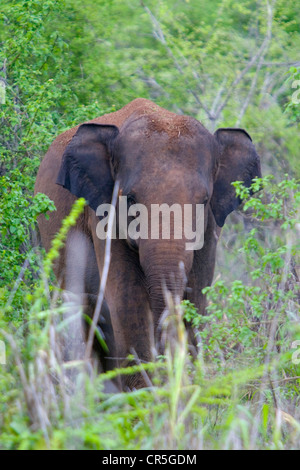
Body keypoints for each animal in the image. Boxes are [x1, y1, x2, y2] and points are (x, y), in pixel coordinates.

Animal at [34, 98, 262, 390]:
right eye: (130, 200)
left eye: (203, 201)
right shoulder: (104, 216)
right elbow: (127, 299)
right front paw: (144, 397)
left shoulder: (211, 228)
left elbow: (197, 298)